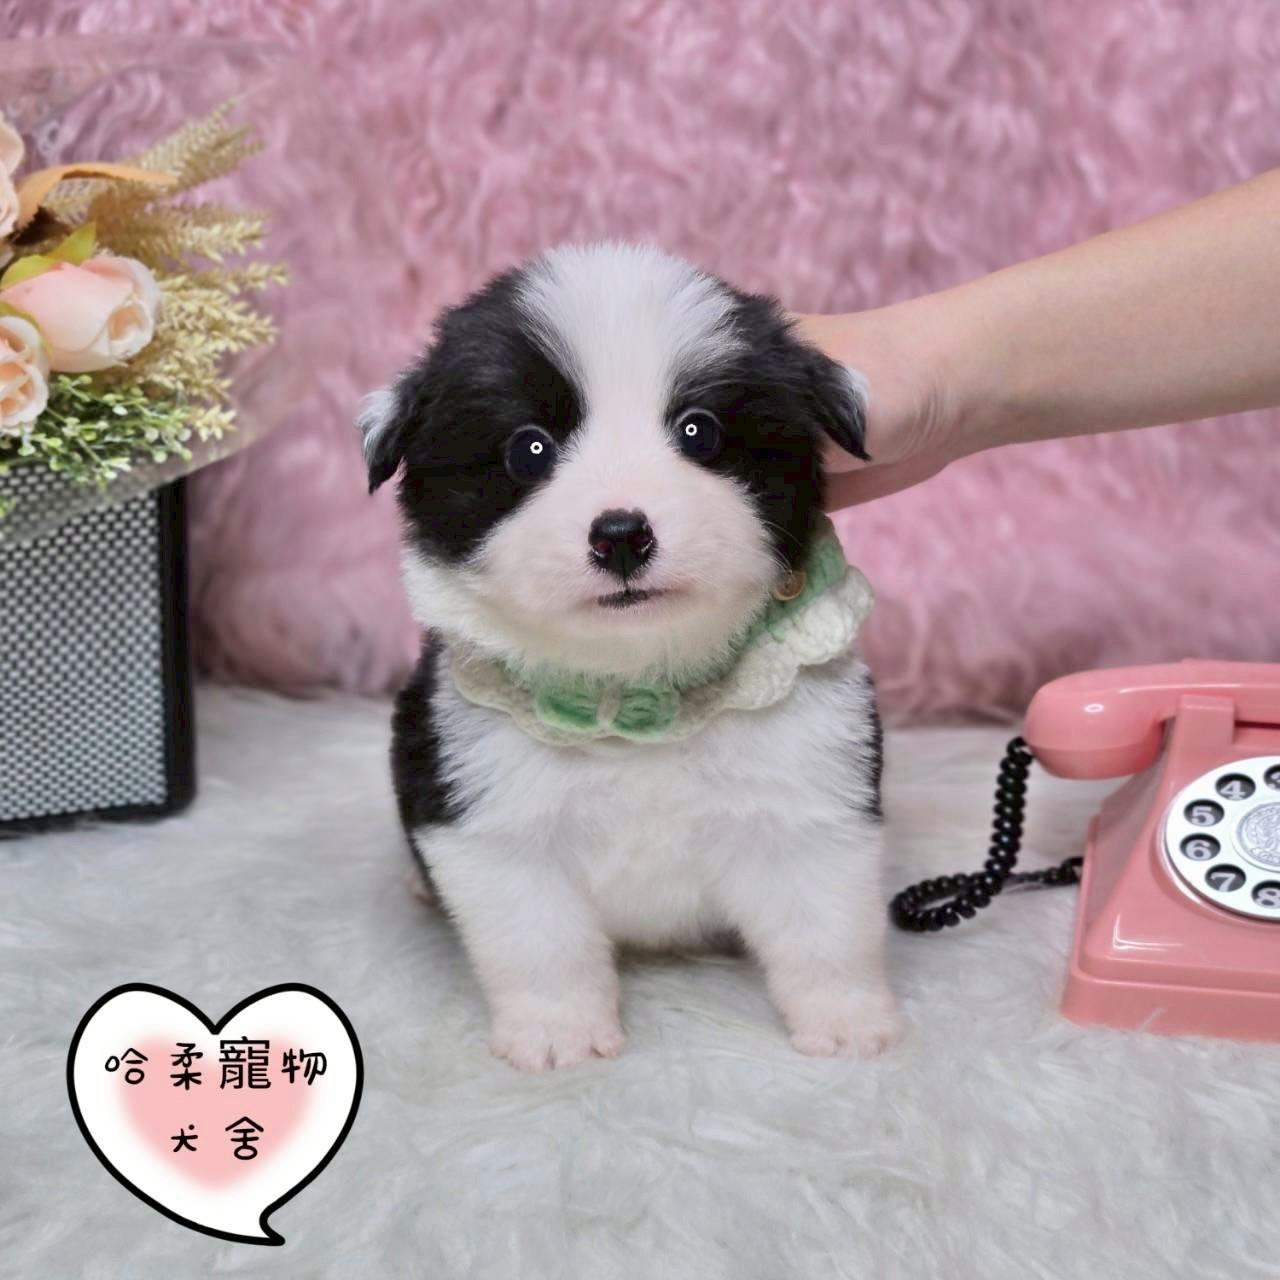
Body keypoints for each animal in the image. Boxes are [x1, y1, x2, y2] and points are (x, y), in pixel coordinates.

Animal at [359, 243, 902, 1071]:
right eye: (529, 449)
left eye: (699, 432)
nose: (620, 534)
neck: (636, 687)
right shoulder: (494, 819)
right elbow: (540, 943)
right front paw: (559, 1035)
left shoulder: (808, 787)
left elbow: (827, 927)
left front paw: (846, 1023)